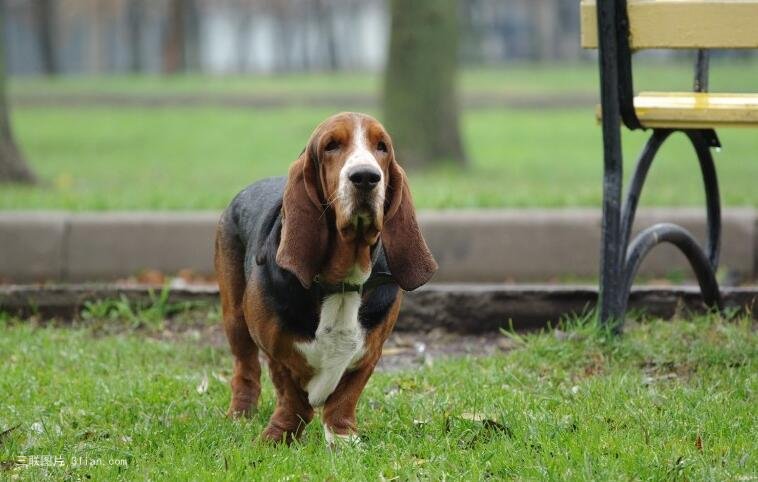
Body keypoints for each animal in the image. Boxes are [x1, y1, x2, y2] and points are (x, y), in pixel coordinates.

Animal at [214, 111, 440, 442]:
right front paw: (278, 437)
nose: (366, 177)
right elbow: (291, 395)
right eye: (331, 145)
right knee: (246, 370)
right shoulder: (276, 351)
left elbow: (344, 399)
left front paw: (342, 439)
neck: (341, 281)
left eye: (382, 147)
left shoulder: (370, 353)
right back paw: (240, 415)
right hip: (235, 319)